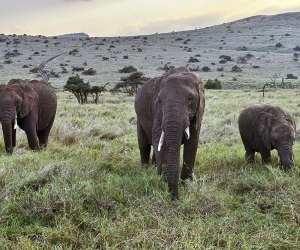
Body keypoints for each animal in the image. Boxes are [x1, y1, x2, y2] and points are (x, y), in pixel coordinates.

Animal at [135, 67, 205, 199]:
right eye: (159, 100)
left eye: (190, 98)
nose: (176, 198)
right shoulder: (157, 111)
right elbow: (158, 137)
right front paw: (162, 181)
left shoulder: (198, 113)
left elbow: (192, 142)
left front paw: (186, 184)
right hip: (139, 121)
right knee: (144, 146)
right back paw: (145, 171)